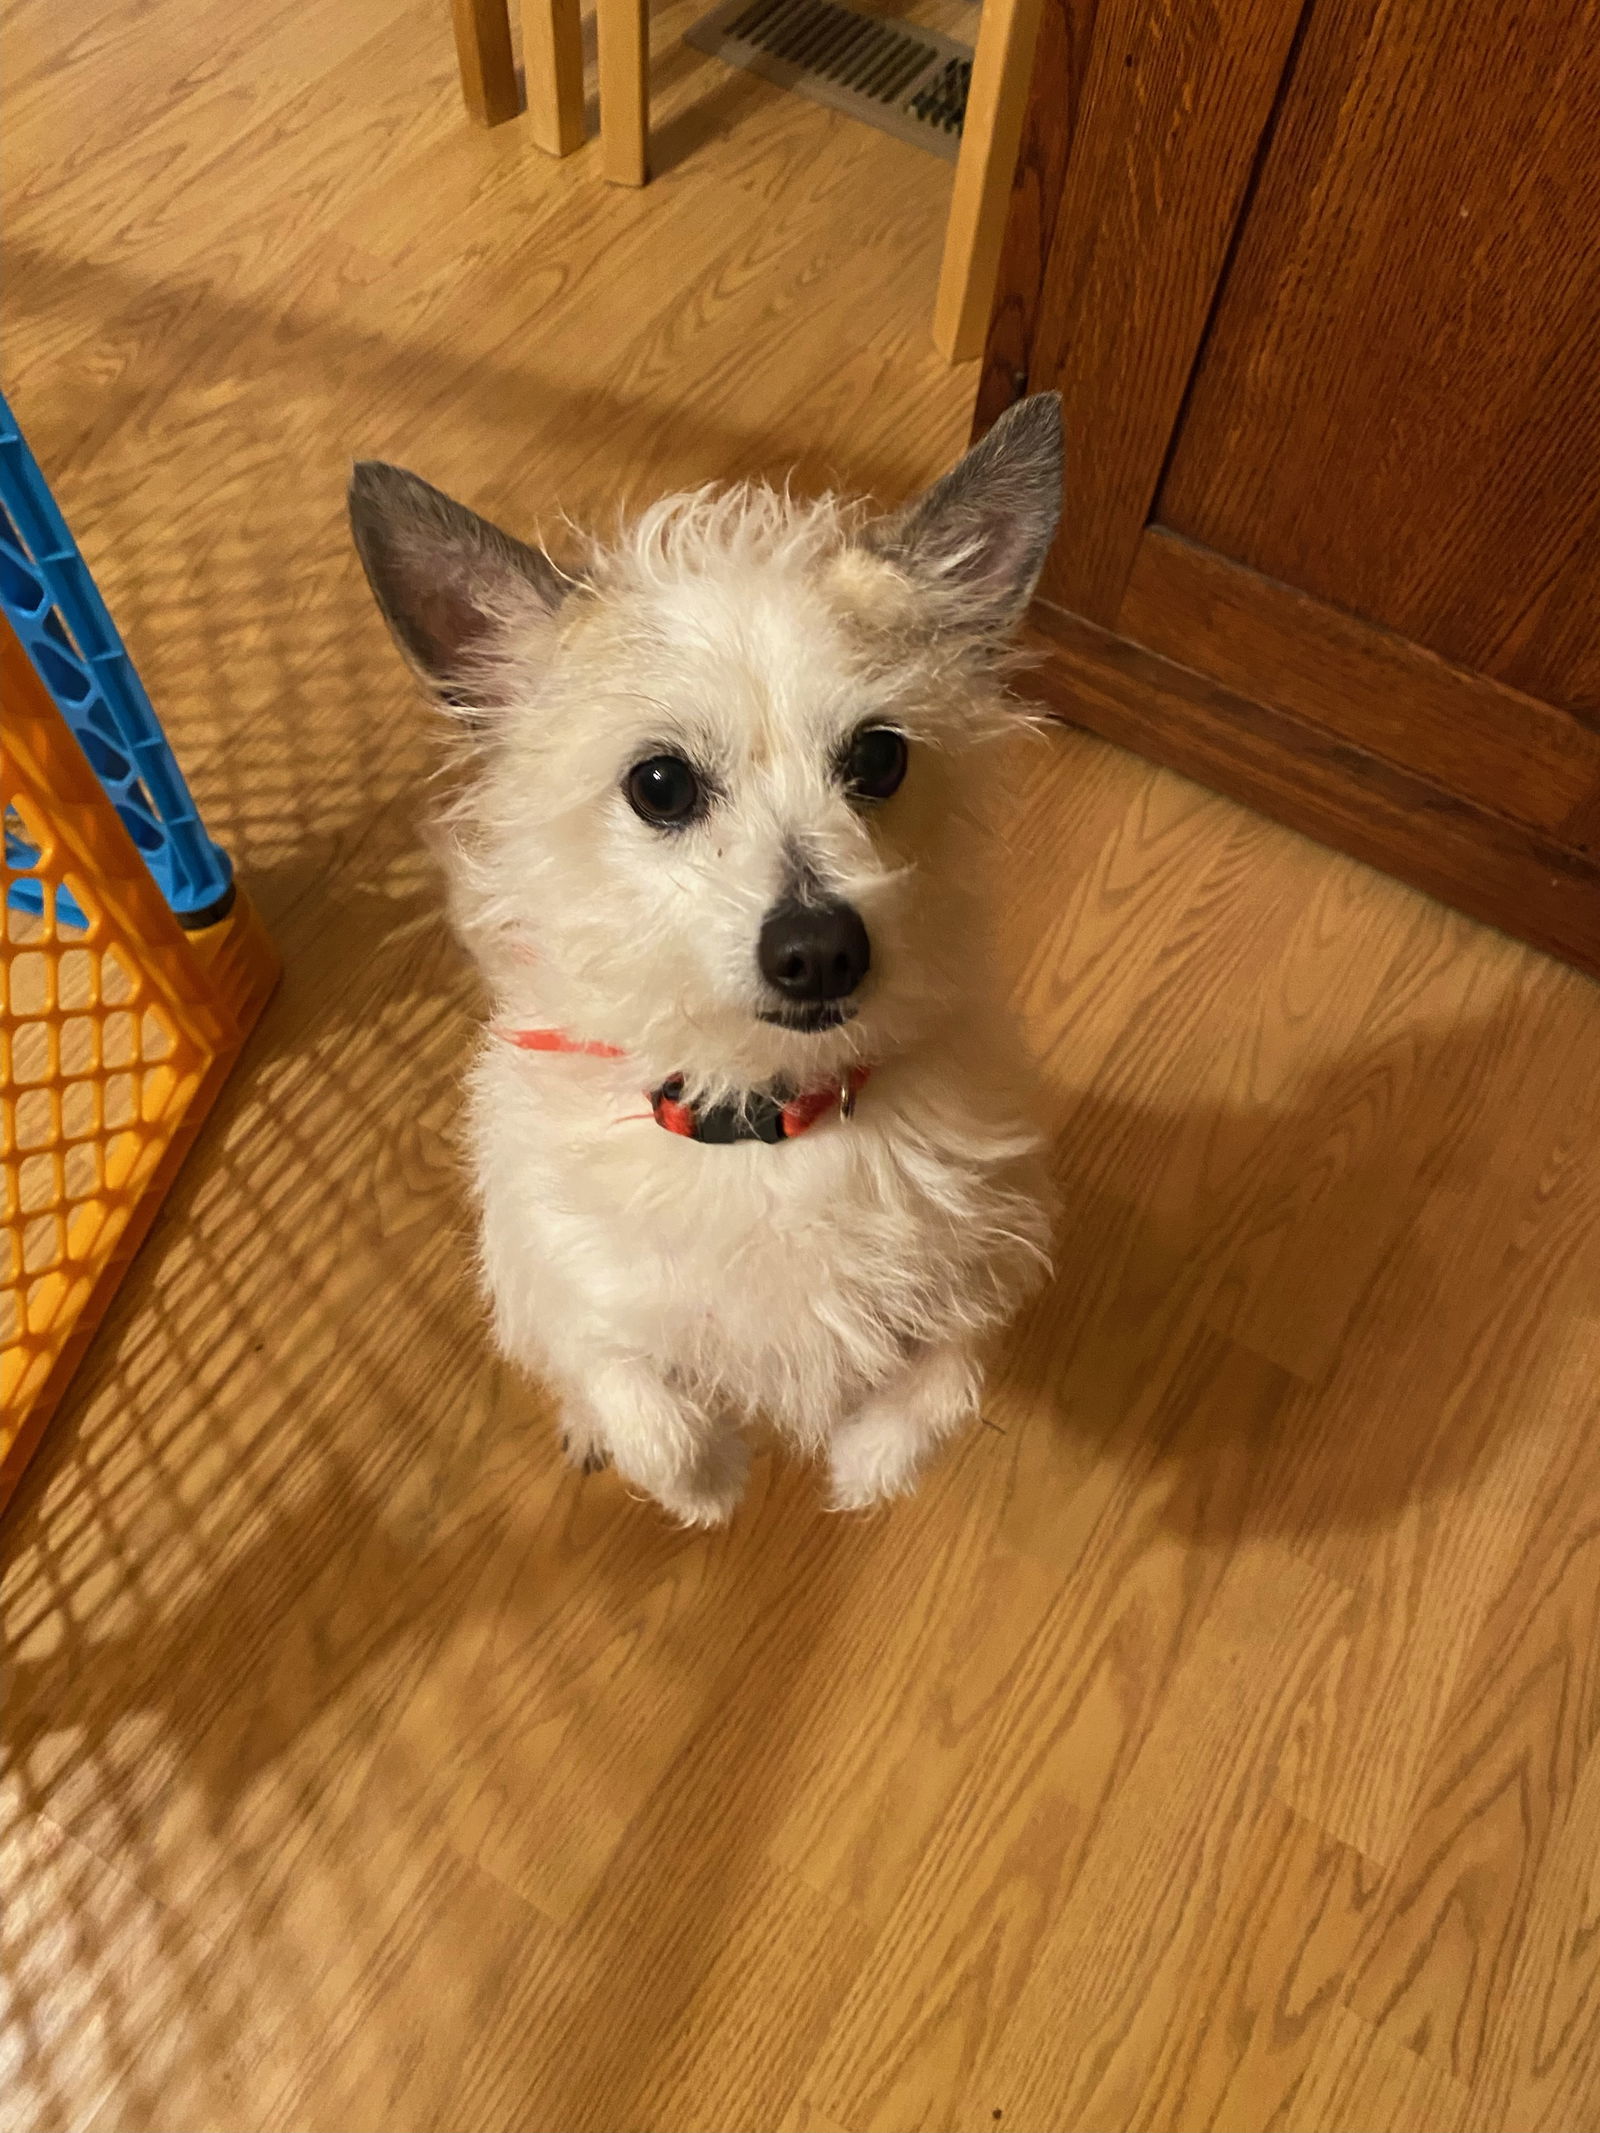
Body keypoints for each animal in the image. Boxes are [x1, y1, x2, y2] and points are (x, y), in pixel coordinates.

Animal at [349, 401, 1066, 1527]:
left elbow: (943, 1384)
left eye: (879, 758)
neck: (769, 1118)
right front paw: (707, 1479)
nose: (820, 951)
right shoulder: (561, 1273)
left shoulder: (983, 1272)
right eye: (660, 784)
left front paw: (865, 1468)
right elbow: (633, 1389)